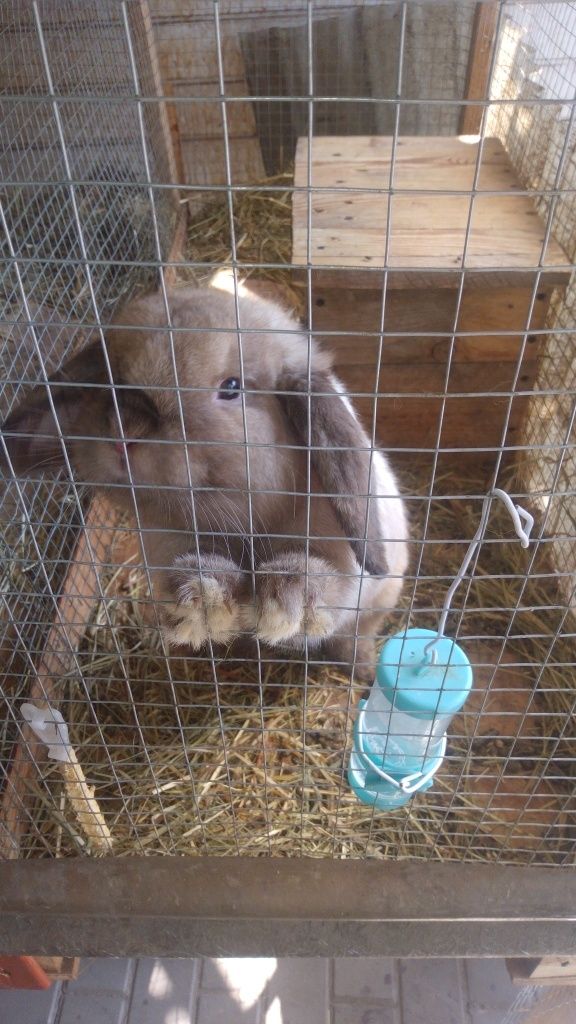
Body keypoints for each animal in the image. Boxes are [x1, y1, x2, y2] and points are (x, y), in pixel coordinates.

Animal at [3, 284, 407, 679]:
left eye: (231, 387)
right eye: (109, 375)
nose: (124, 432)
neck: (247, 523)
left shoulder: (342, 565)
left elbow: (319, 582)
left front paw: (280, 604)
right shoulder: (169, 547)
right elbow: (192, 572)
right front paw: (201, 600)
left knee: (354, 635)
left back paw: (361, 670)